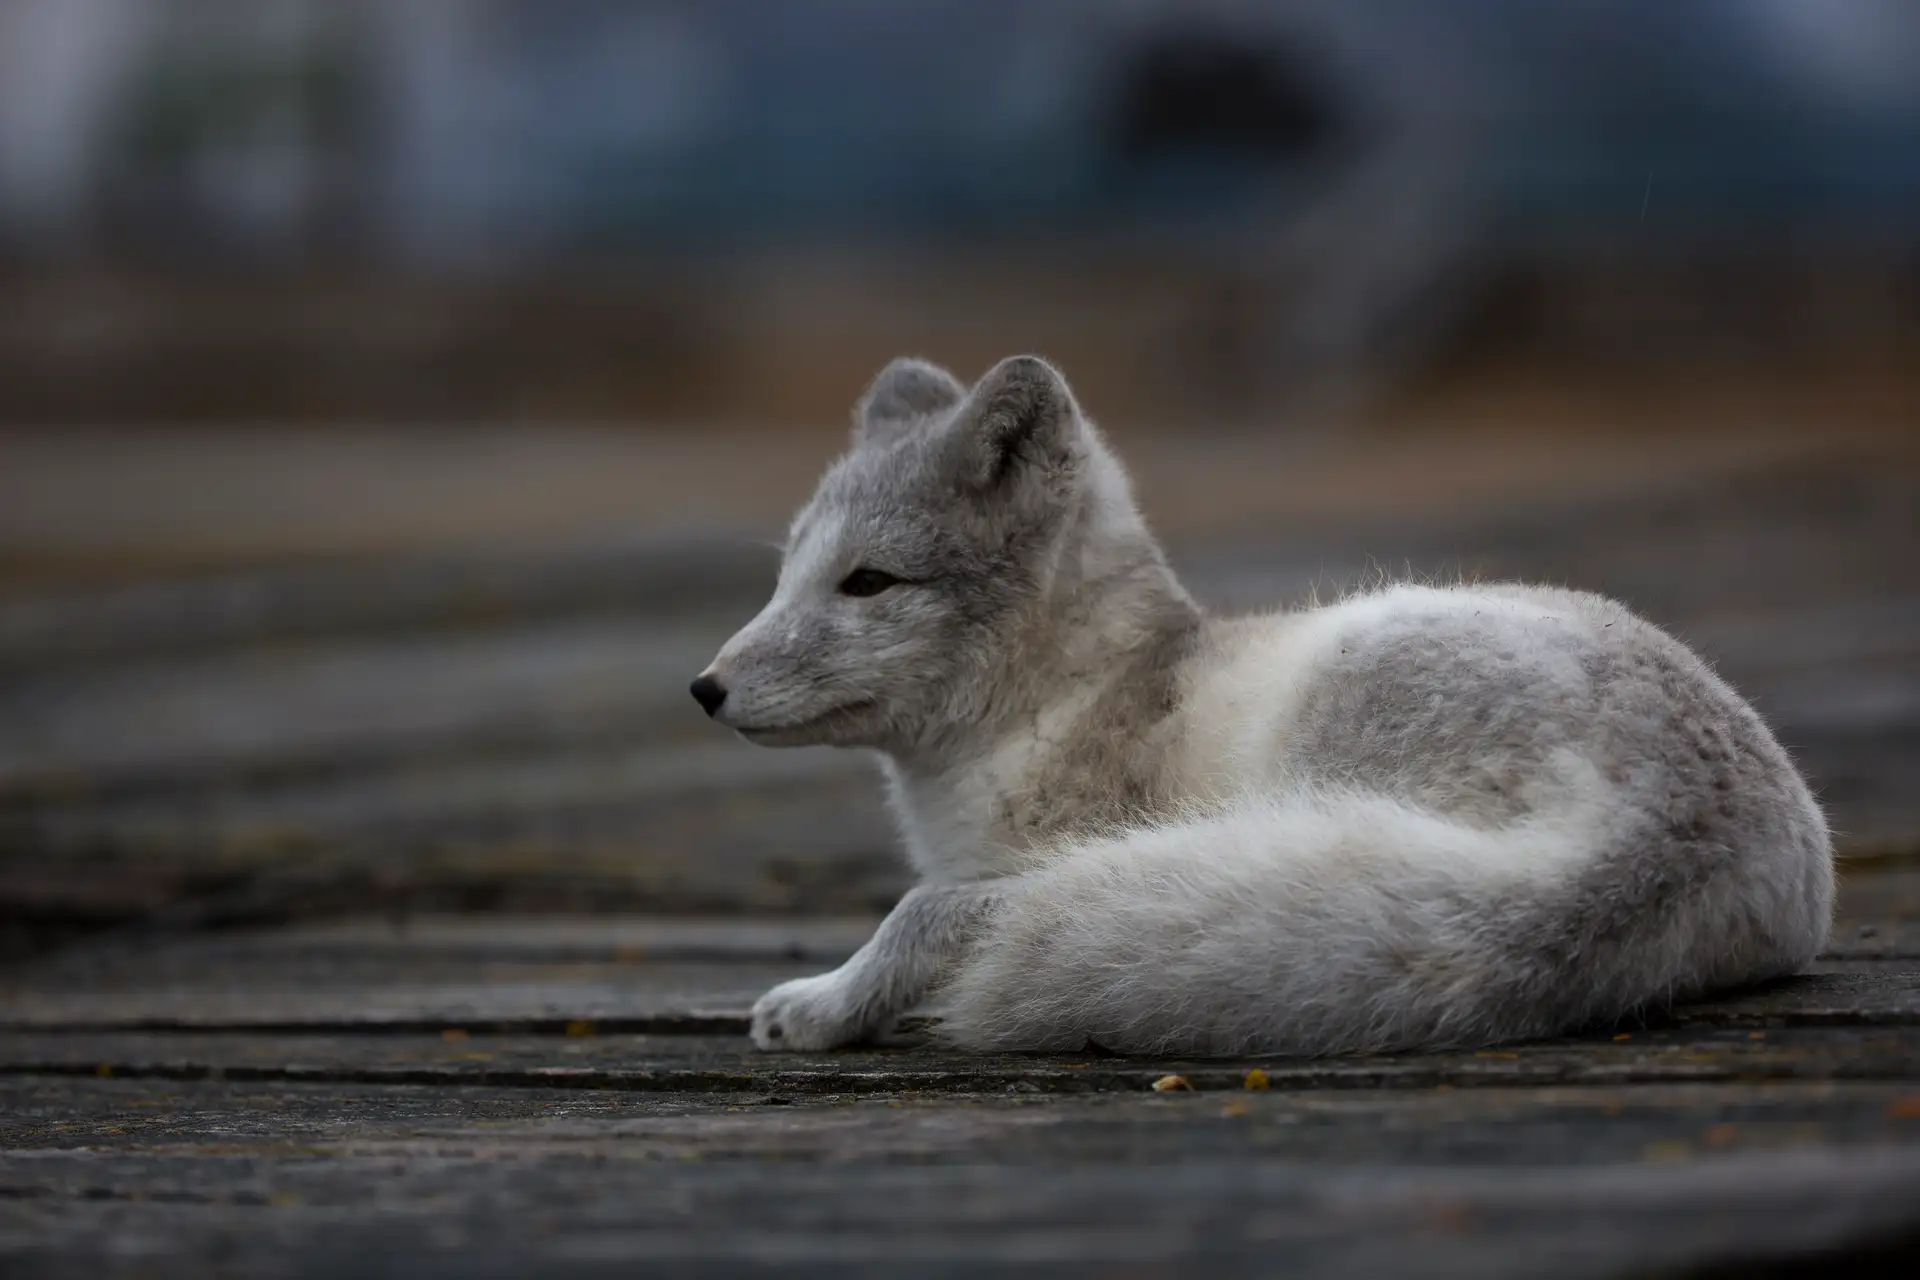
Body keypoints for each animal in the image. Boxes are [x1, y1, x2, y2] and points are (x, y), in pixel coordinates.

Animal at [690, 354, 1833, 1056]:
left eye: (867, 582)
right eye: (786, 575)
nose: (704, 688)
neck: (1070, 697)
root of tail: (1672, 828)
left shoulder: (1041, 854)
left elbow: (922, 910)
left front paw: (825, 1004)